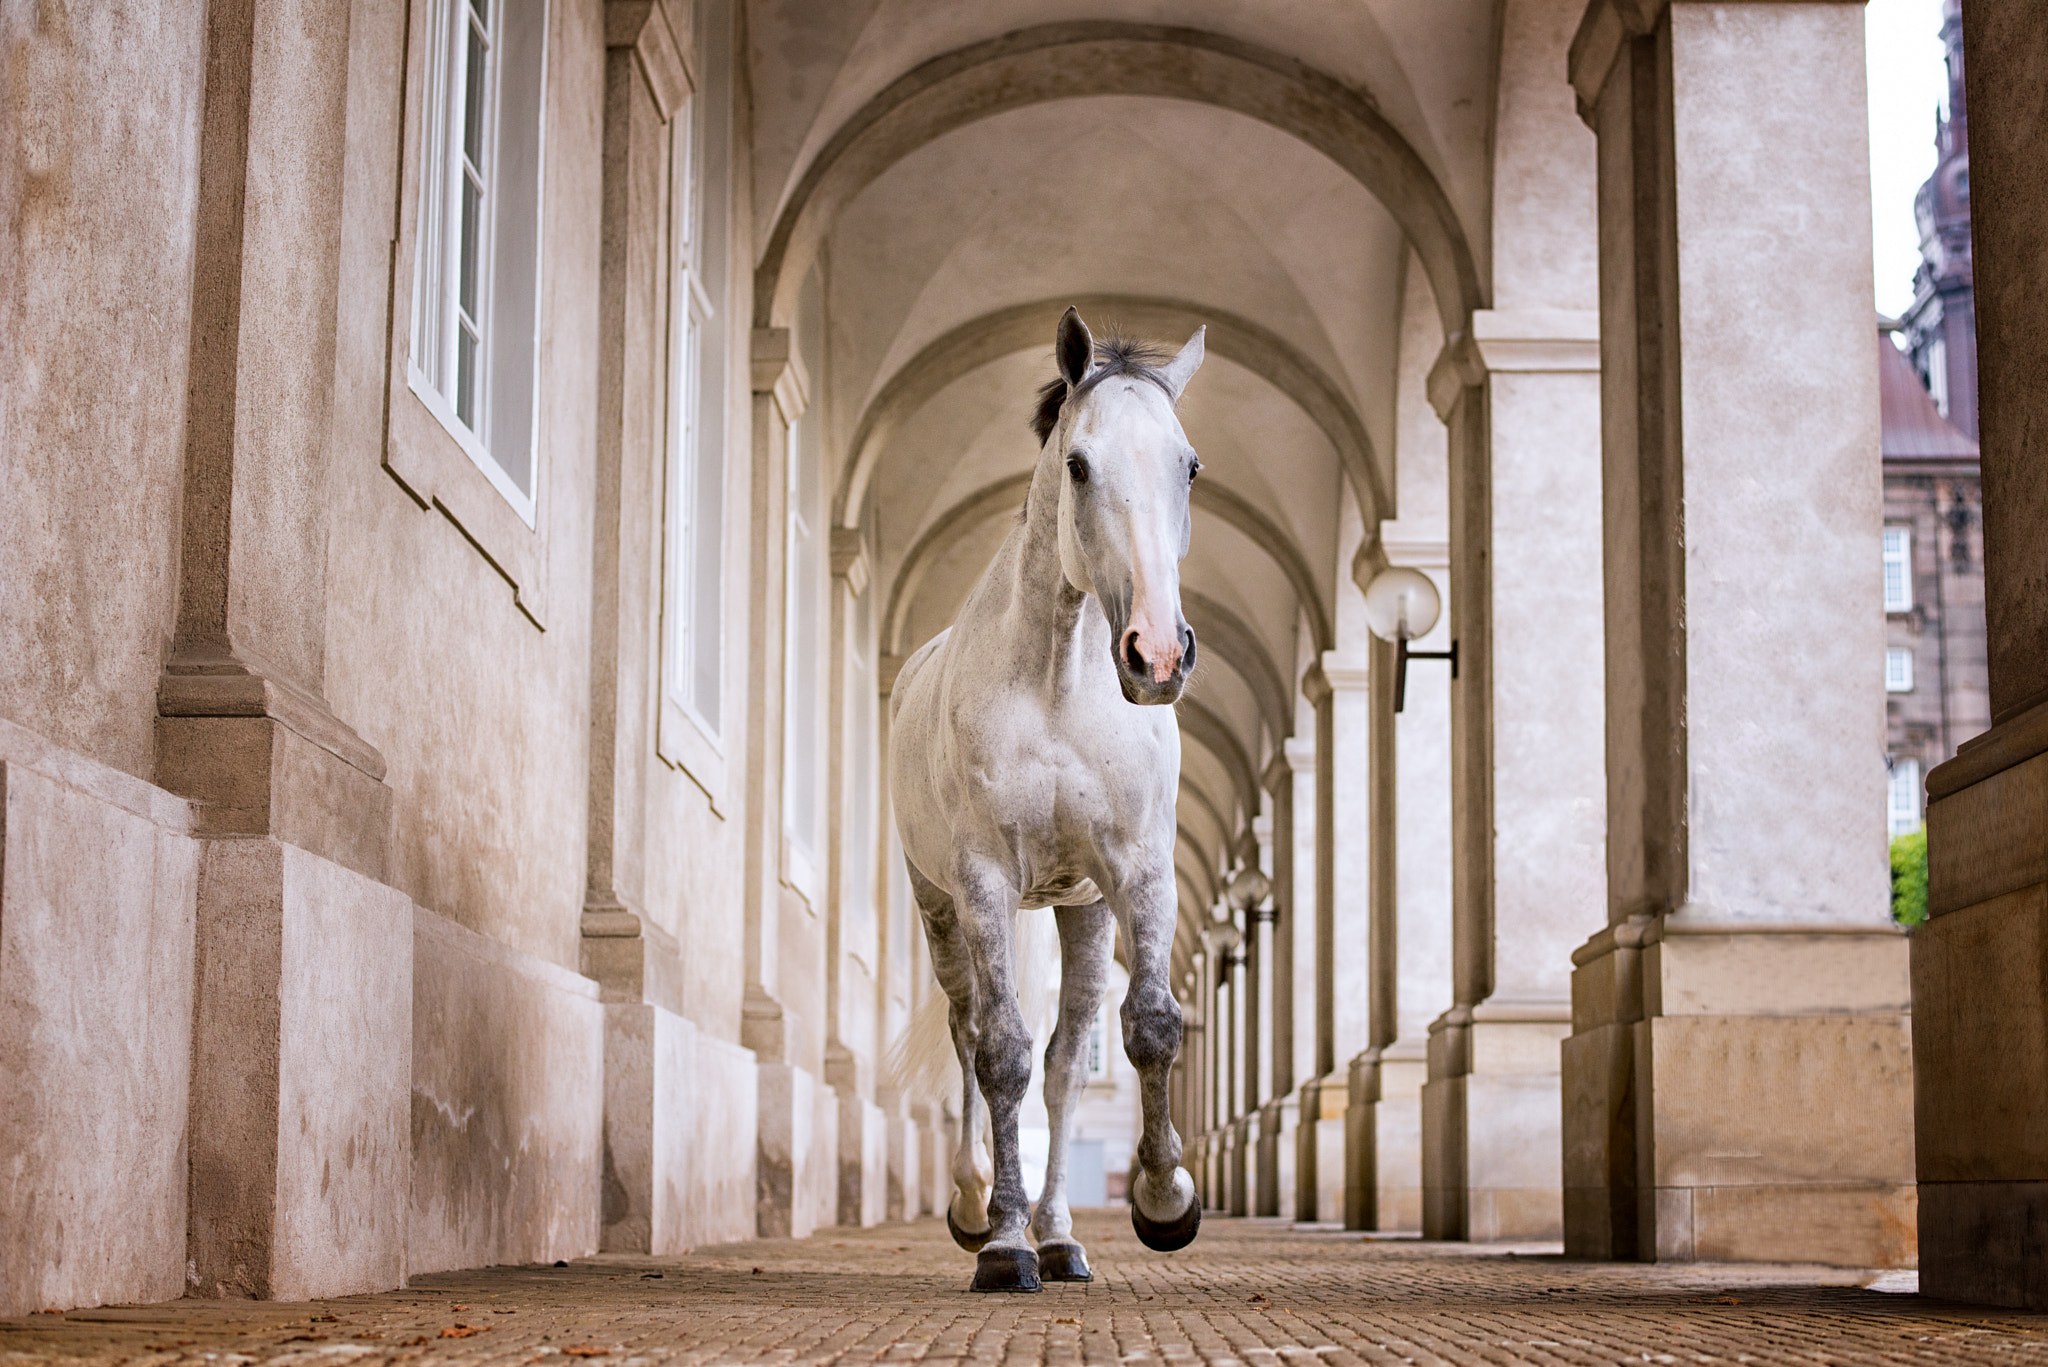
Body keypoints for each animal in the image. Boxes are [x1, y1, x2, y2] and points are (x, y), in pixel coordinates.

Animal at [892, 307, 1204, 1295]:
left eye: (1188, 464)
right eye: (1079, 464)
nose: (1156, 652)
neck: (1060, 681)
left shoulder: (1136, 871)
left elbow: (1146, 1026)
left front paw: (1165, 1199)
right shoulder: (984, 881)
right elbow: (1000, 1053)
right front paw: (1002, 1241)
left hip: (1081, 908)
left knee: (1067, 1063)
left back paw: (1063, 1234)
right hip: (940, 908)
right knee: (969, 1035)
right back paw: (978, 1205)